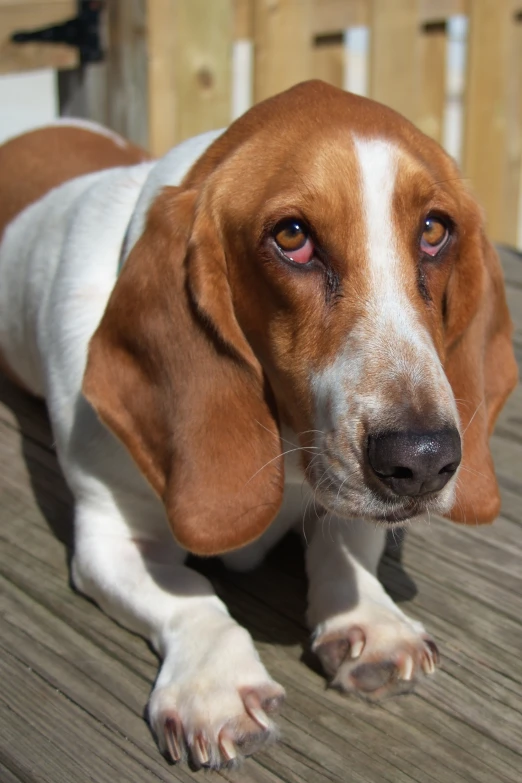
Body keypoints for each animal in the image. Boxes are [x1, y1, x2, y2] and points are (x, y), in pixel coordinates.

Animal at [0, 82, 512, 768]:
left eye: (435, 229)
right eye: (291, 237)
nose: (424, 460)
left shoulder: (348, 507)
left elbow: (343, 547)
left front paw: (371, 622)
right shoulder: (109, 540)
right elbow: (189, 594)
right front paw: (214, 685)